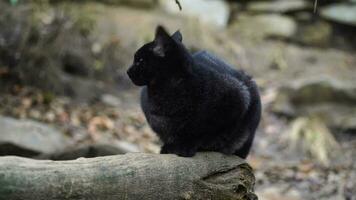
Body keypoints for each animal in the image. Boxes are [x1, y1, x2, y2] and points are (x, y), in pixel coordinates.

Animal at [126, 26, 260, 158]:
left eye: (140, 60)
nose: (127, 71)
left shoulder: (239, 98)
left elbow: (204, 132)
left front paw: (186, 146)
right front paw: (169, 147)